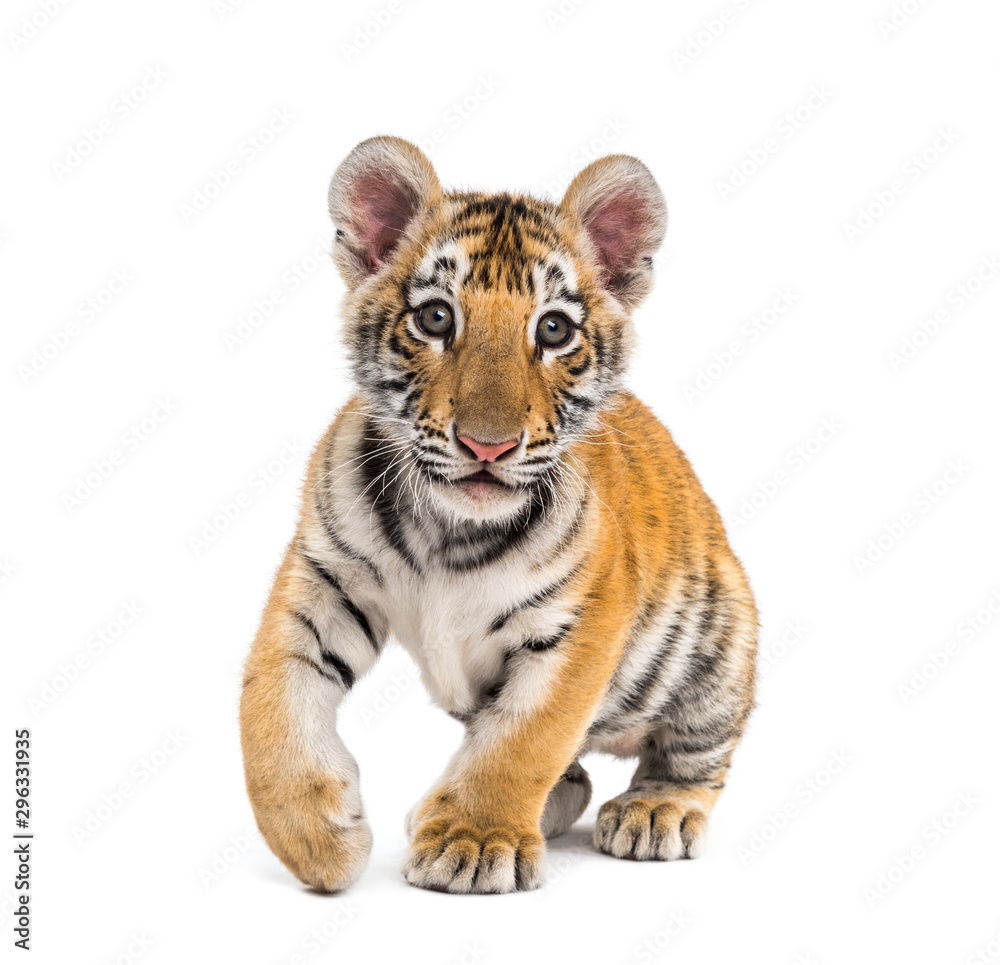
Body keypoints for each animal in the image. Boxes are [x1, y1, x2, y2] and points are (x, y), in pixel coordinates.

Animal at [239, 135, 758, 895]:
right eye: (435, 318)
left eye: (554, 329)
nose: (488, 445)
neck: (447, 529)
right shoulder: (322, 579)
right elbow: (270, 700)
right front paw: (316, 837)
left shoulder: (583, 623)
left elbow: (523, 739)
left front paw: (475, 842)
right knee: (571, 777)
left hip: (718, 650)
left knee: (691, 757)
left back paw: (653, 811)